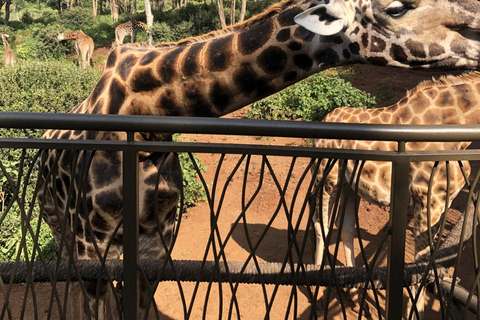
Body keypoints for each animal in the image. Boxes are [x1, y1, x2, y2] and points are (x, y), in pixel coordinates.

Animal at [312, 72, 480, 320]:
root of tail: (325, 118)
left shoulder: (441, 202)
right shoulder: (427, 199)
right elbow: (420, 261)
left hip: (348, 185)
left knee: (346, 229)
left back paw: (354, 294)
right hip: (328, 174)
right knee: (320, 222)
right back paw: (317, 296)